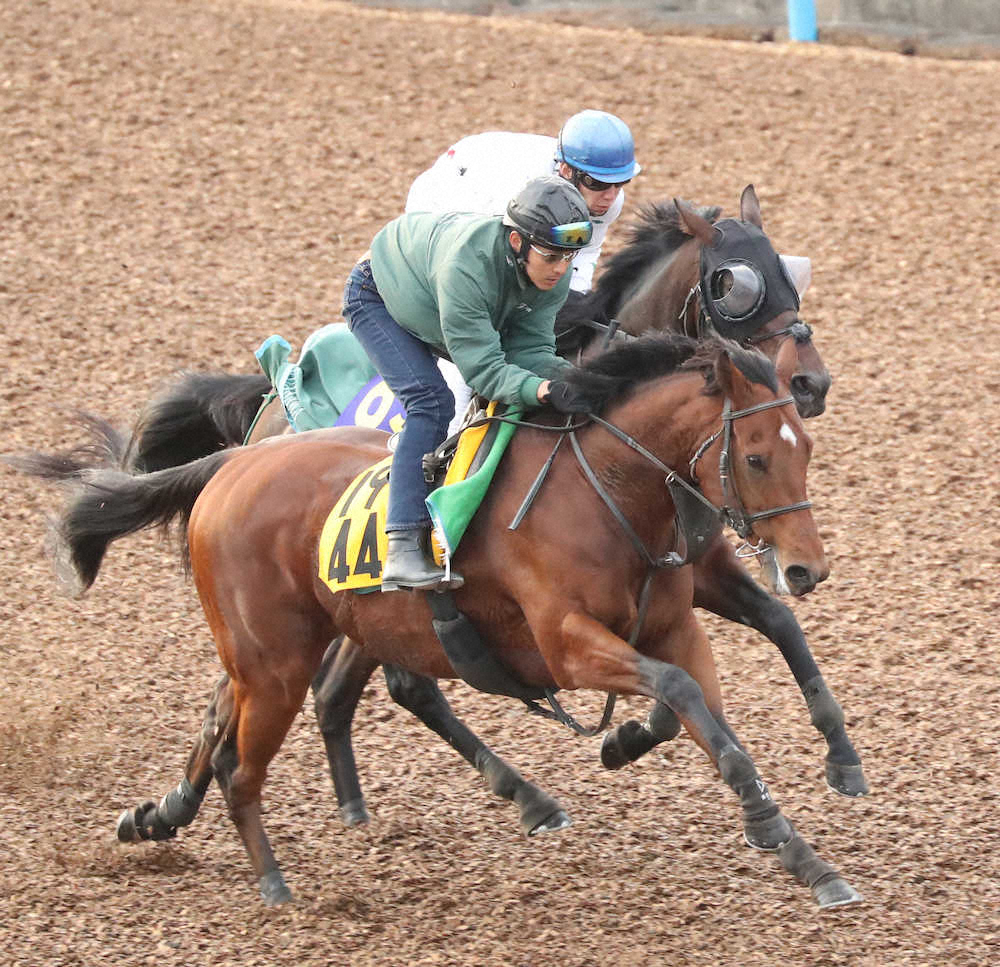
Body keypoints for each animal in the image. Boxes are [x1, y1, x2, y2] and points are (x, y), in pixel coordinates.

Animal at [24, 333, 862, 909]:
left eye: (807, 449)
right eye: (756, 457)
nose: (806, 567)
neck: (607, 490)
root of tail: (232, 464)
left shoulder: (674, 622)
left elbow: (712, 713)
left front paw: (802, 844)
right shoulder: (564, 645)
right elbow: (684, 697)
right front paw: (769, 817)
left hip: (280, 648)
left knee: (225, 715)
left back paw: (157, 815)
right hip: (278, 659)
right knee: (259, 743)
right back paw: (269, 875)